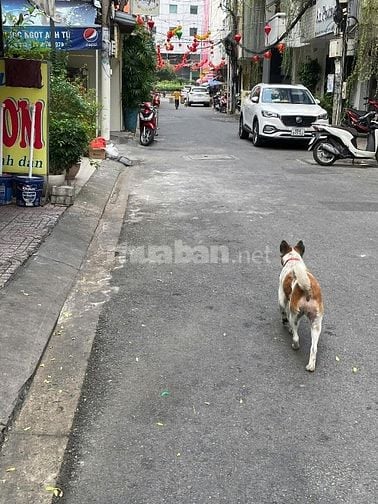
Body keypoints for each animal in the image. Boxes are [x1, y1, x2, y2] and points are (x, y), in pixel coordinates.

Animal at [280, 240, 324, 370]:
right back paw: (311, 366)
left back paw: (295, 345)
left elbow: (282, 311)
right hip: (316, 323)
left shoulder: (281, 298)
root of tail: (308, 289)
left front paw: (284, 322)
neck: (294, 261)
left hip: (295, 315)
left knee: (296, 336)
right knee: (314, 348)